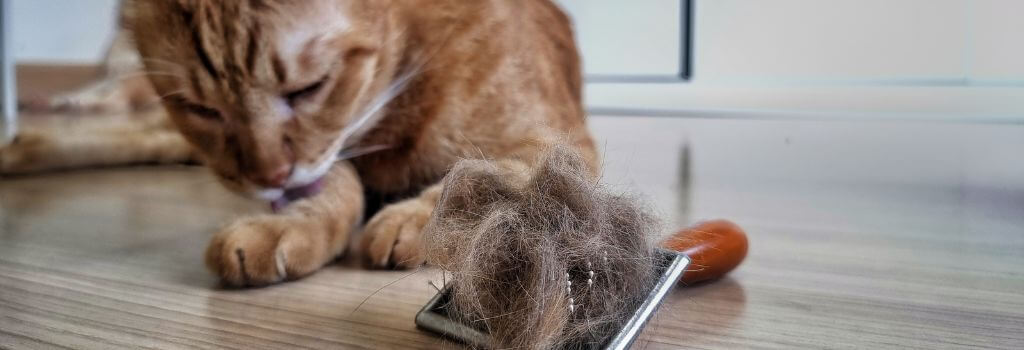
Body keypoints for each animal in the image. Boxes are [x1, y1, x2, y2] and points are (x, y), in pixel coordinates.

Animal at [9, 0, 598, 286]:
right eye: (203, 109)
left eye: (307, 89)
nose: (266, 179)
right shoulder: (323, 154)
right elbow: (334, 185)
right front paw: (288, 224)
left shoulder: (558, 144)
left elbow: (475, 173)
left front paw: (416, 221)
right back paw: (21, 145)